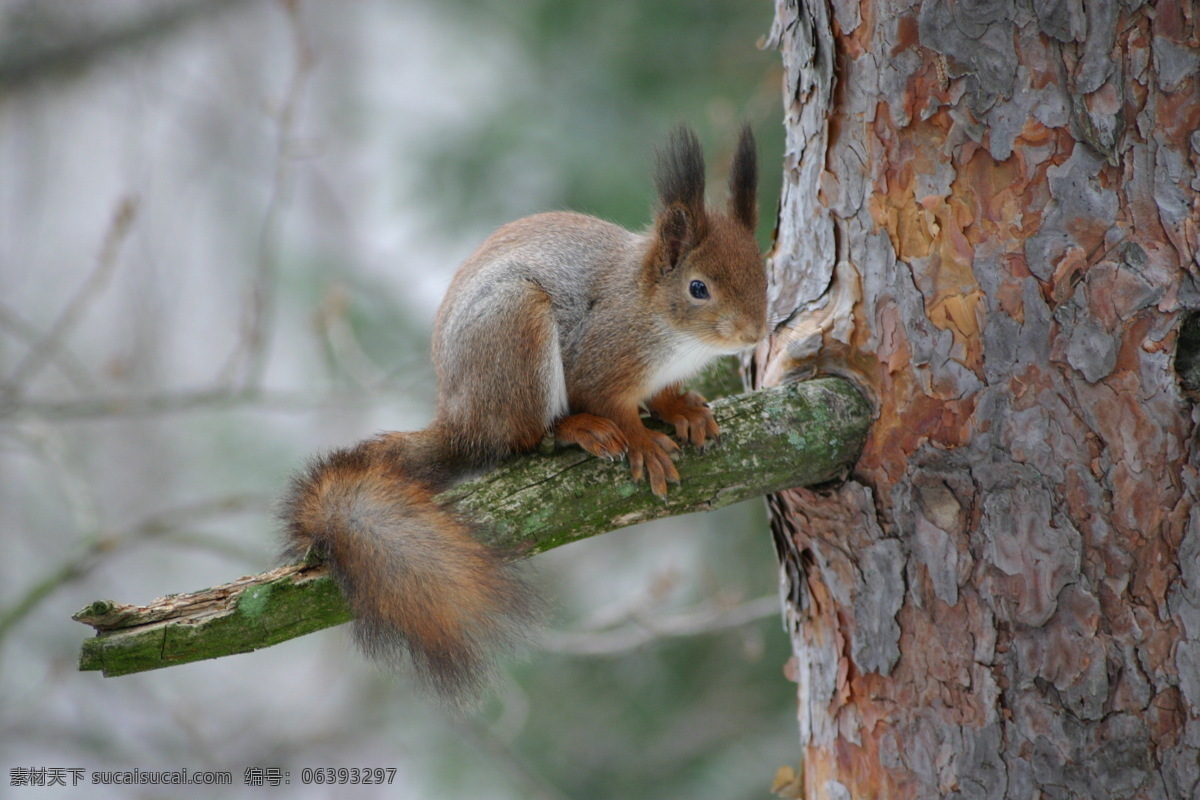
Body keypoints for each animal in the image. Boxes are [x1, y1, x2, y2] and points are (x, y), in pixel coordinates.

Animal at [285, 126, 763, 705]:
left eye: (763, 268)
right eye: (698, 288)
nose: (756, 332)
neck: (665, 327)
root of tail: (463, 421)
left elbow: (665, 395)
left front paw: (684, 409)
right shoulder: (602, 357)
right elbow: (611, 403)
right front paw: (643, 442)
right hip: (517, 331)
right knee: (529, 437)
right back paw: (576, 429)